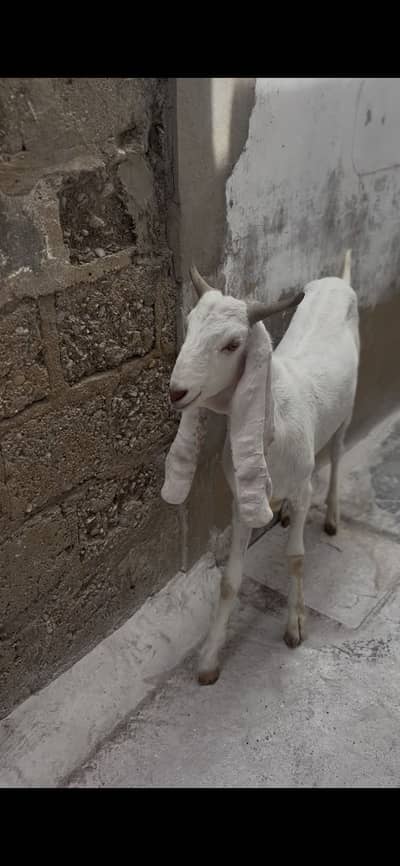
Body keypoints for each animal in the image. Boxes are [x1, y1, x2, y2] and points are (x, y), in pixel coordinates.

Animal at [162, 250, 360, 685]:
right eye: (189, 324)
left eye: (233, 344)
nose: (177, 391)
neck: (276, 421)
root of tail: (339, 281)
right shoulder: (240, 501)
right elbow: (229, 581)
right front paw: (209, 659)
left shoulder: (299, 490)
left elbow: (297, 557)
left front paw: (295, 626)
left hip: (348, 408)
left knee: (338, 453)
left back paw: (332, 515)